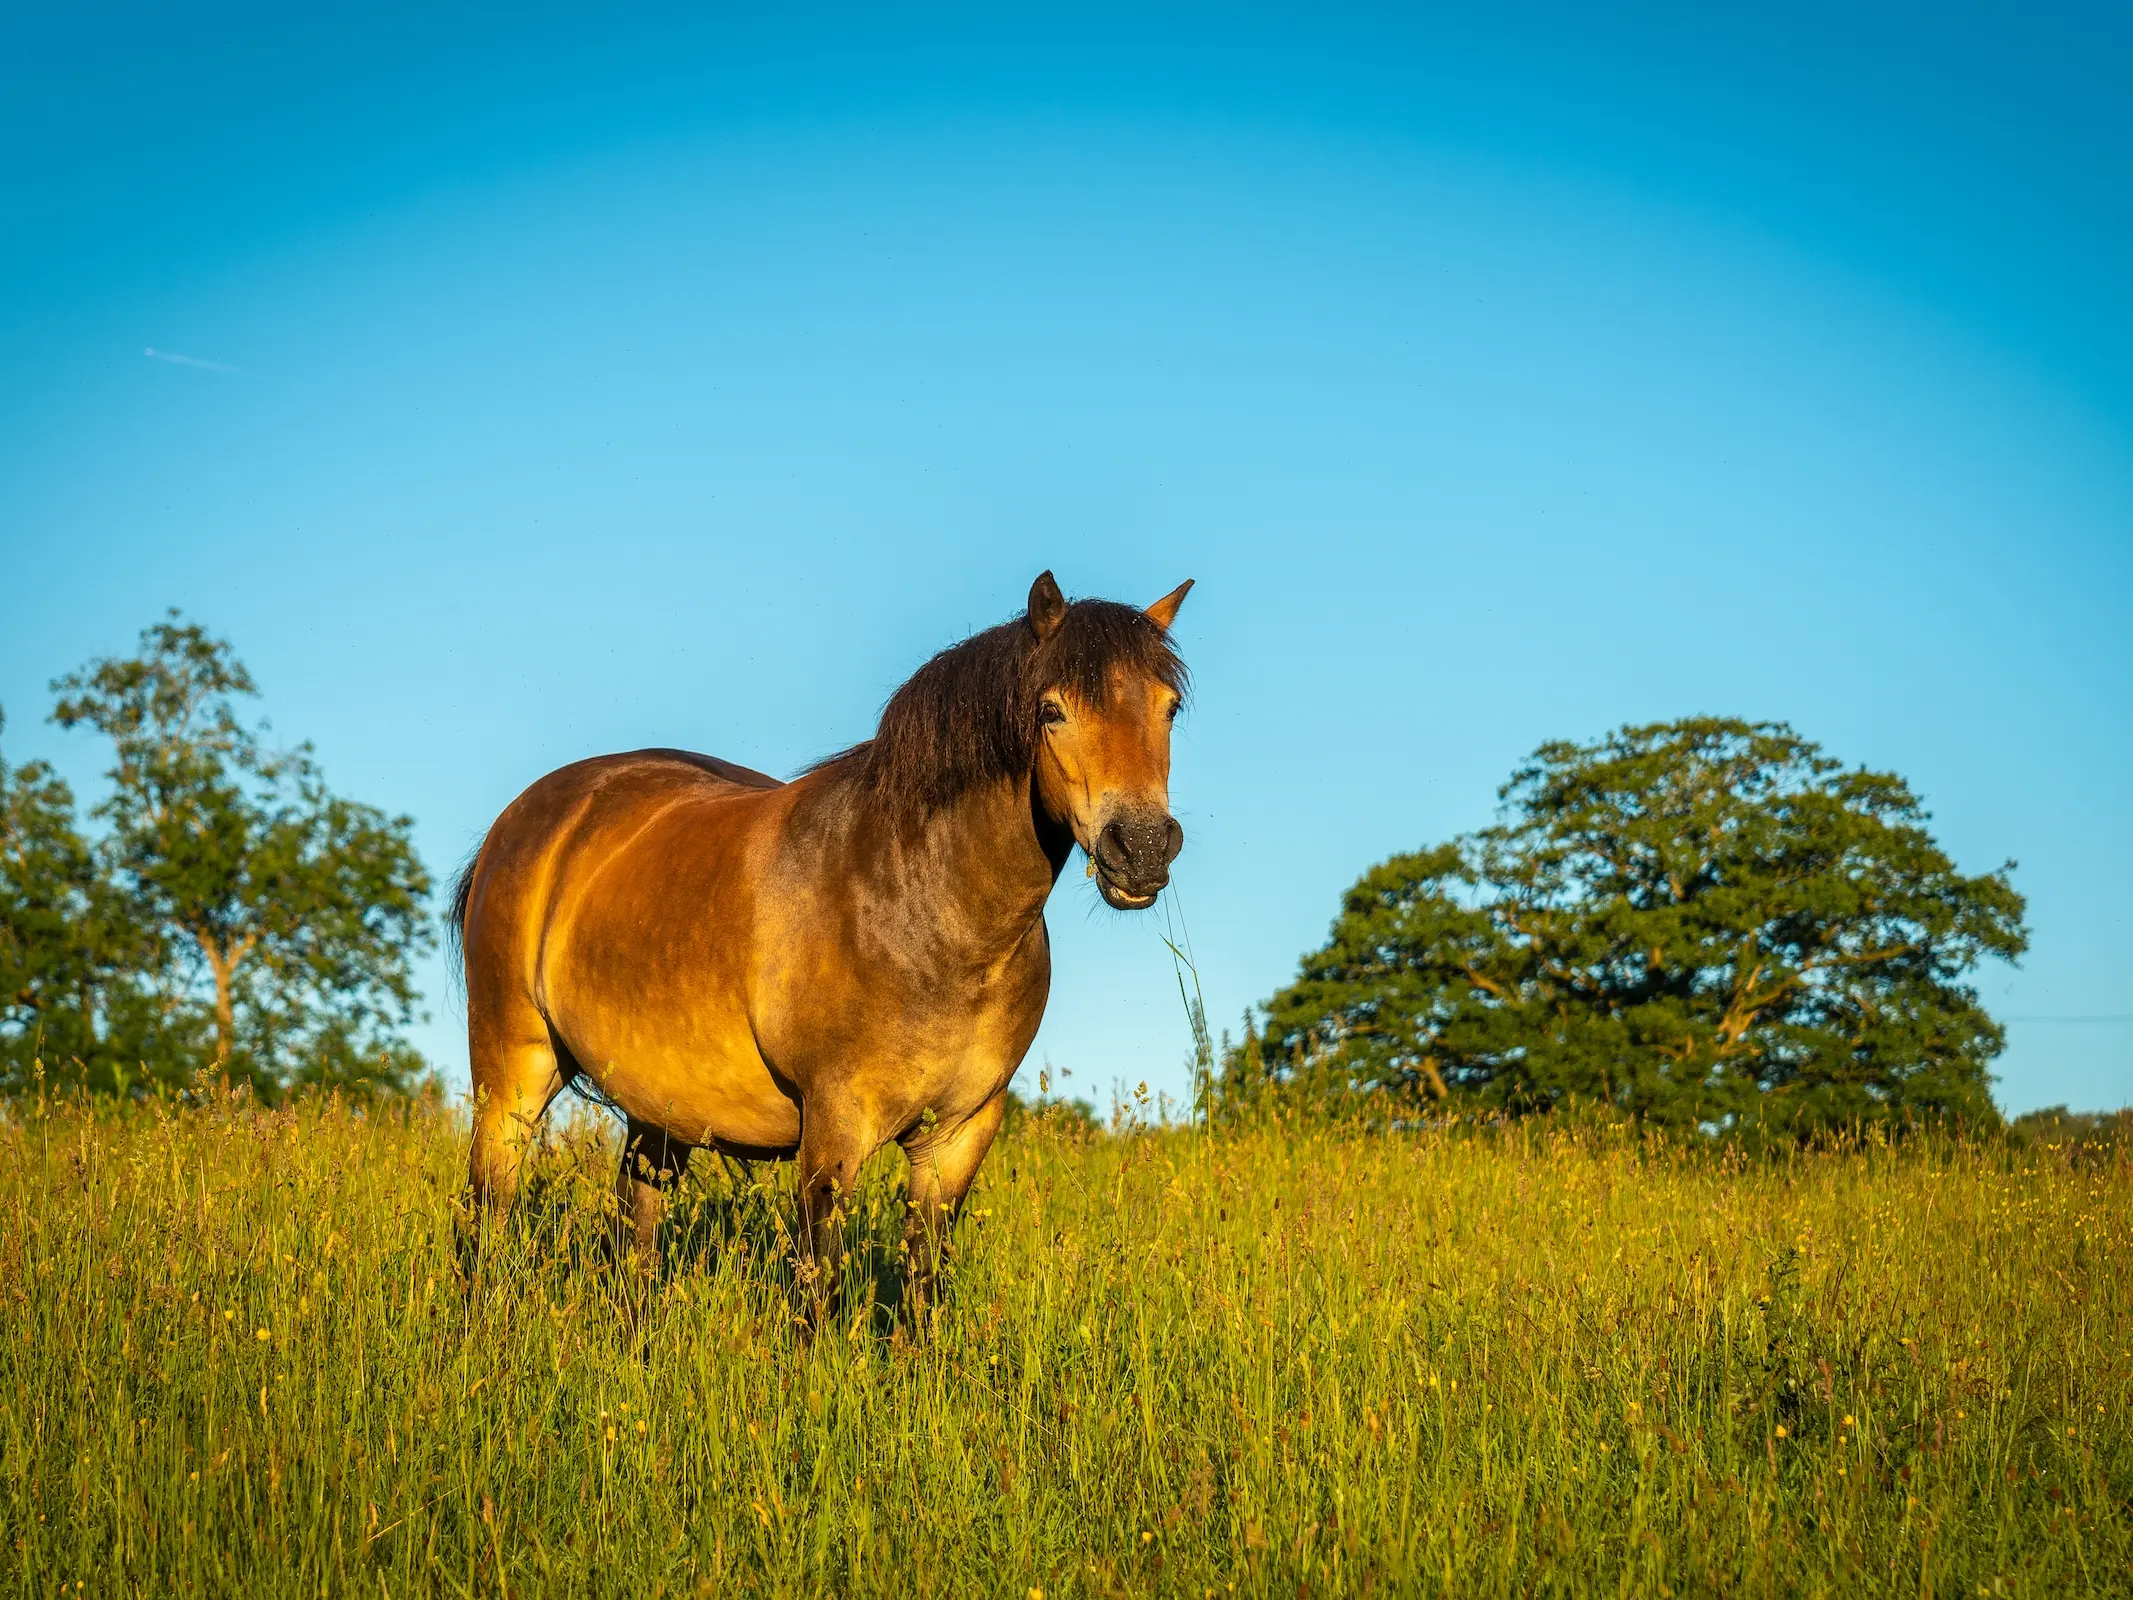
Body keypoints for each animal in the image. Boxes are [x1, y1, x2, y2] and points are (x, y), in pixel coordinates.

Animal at [450, 576, 1194, 1314]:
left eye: (1170, 708)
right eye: (1050, 711)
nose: (1141, 848)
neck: (924, 908)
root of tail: (529, 818)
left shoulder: (958, 1136)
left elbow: (921, 1290)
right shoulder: (834, 1127)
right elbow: (818, 1292)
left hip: (656, 1113)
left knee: (634, 1238)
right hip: (513, 1074)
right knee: (484, 1218)